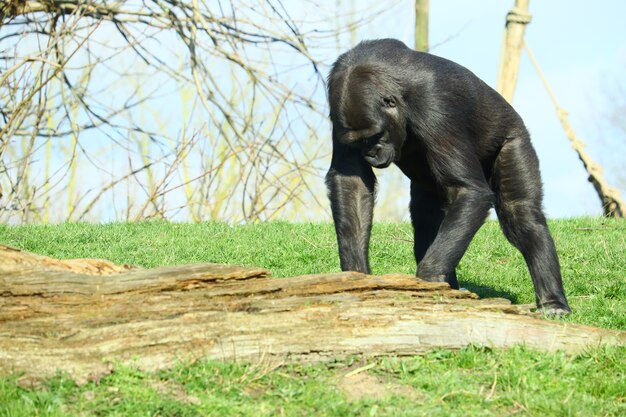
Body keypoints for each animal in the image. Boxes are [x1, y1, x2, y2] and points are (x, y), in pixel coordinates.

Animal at [326, 39, 572, 314]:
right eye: (360, 142)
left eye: (375, 136)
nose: (371, 153)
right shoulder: (337, 110)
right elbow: (352, 184)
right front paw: (355, 277)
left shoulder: (433, 105)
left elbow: (468, 190)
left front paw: (429, 276)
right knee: (428, 221)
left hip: (514, 136)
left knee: (521, 215)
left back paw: (552, 301)